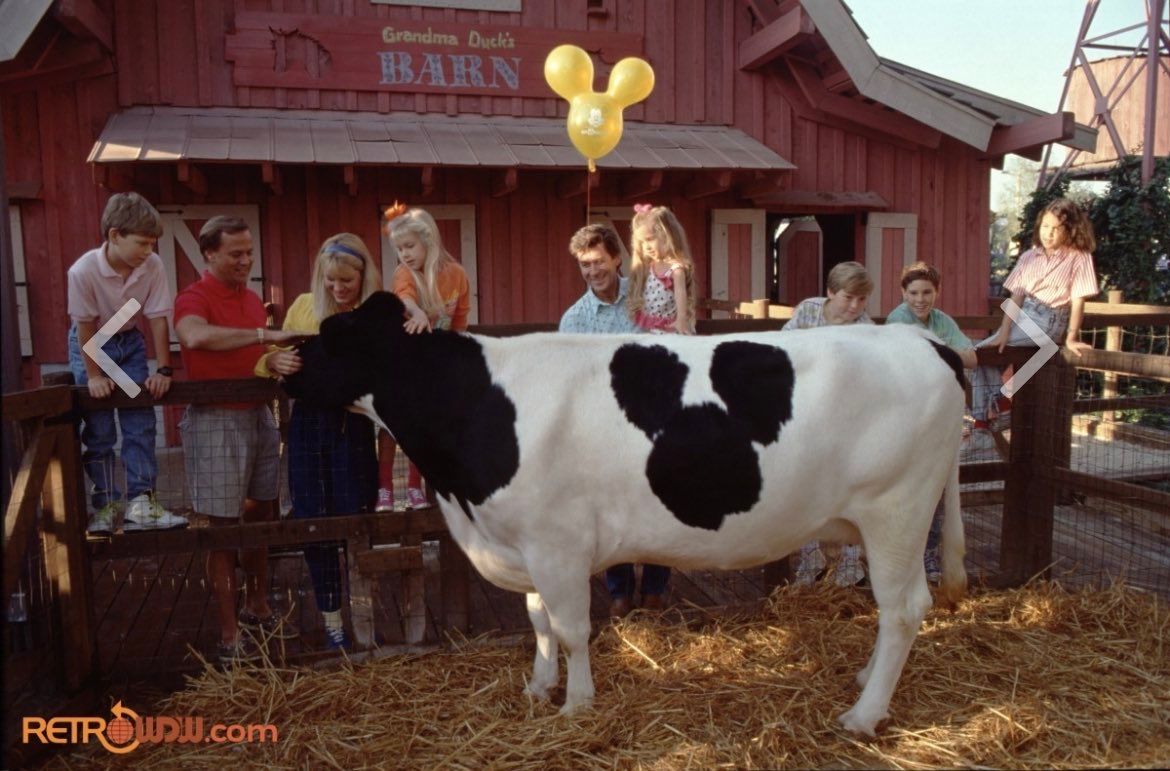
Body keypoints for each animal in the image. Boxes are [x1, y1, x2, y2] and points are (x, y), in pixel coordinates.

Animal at [278, 292, 964, 739]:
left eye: (333, 334)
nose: (282, 366)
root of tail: (920, 340)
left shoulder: (556, 543)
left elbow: (572, 629)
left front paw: (576, 704)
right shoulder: (527, 544)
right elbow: (538, 622)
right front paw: (538, 687)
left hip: (895, 511)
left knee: (903, 610)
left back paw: (864, 715)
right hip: (891, 522)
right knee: (903, 607)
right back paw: (863, 681)